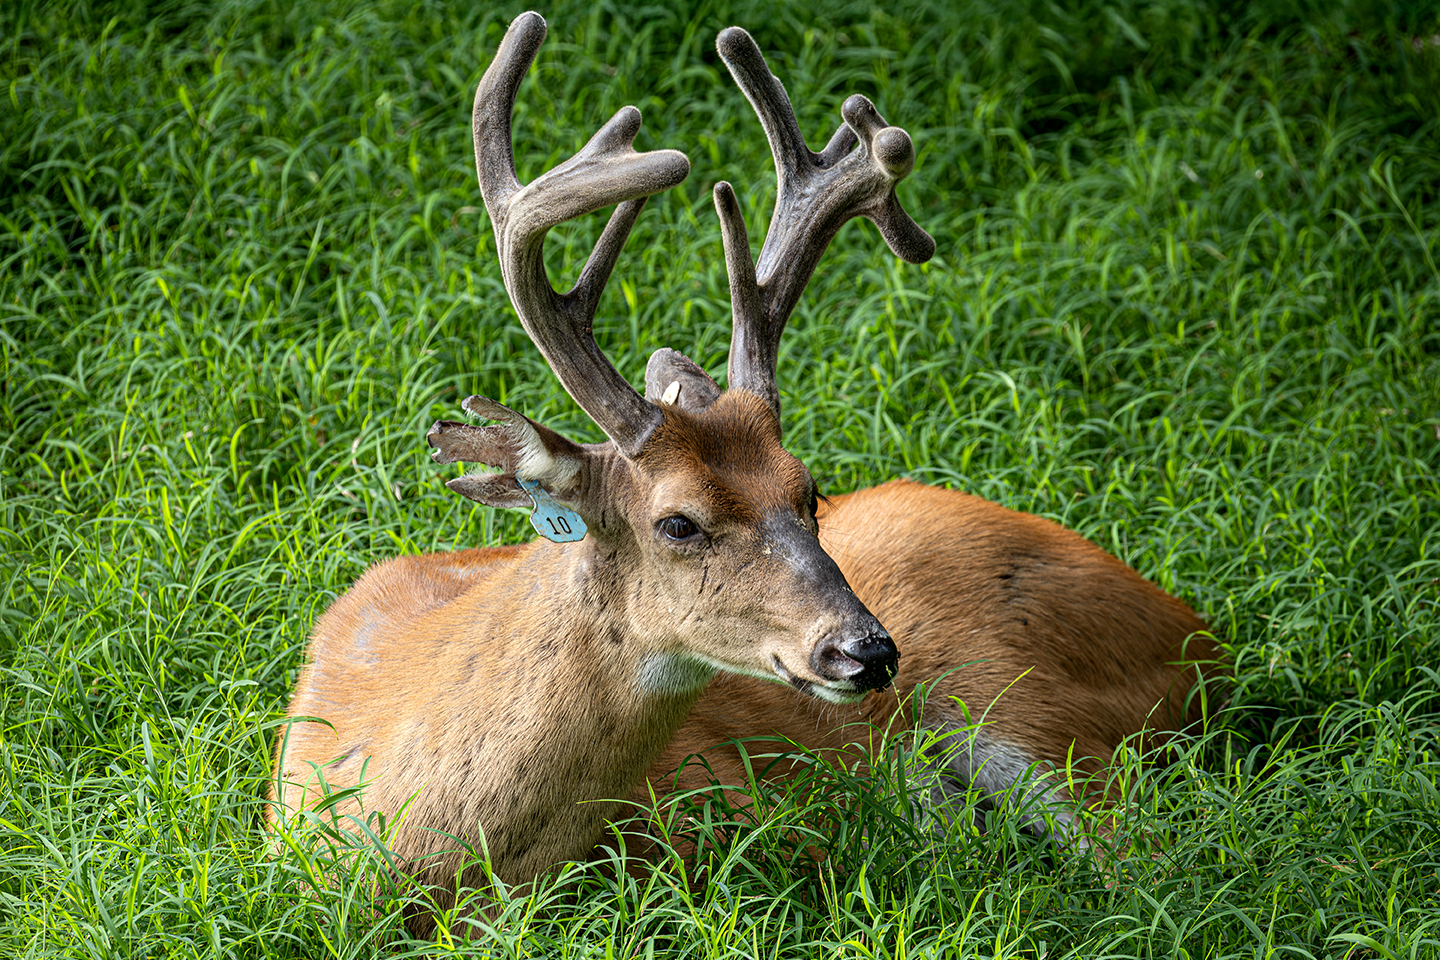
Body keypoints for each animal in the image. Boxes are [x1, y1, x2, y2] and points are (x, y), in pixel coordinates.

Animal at [271, 9, 1219, 931]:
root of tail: (1198, 635)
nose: (866, 651)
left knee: (1156, 865)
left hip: (1043, 715)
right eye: (678, 521)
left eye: (811, 491)